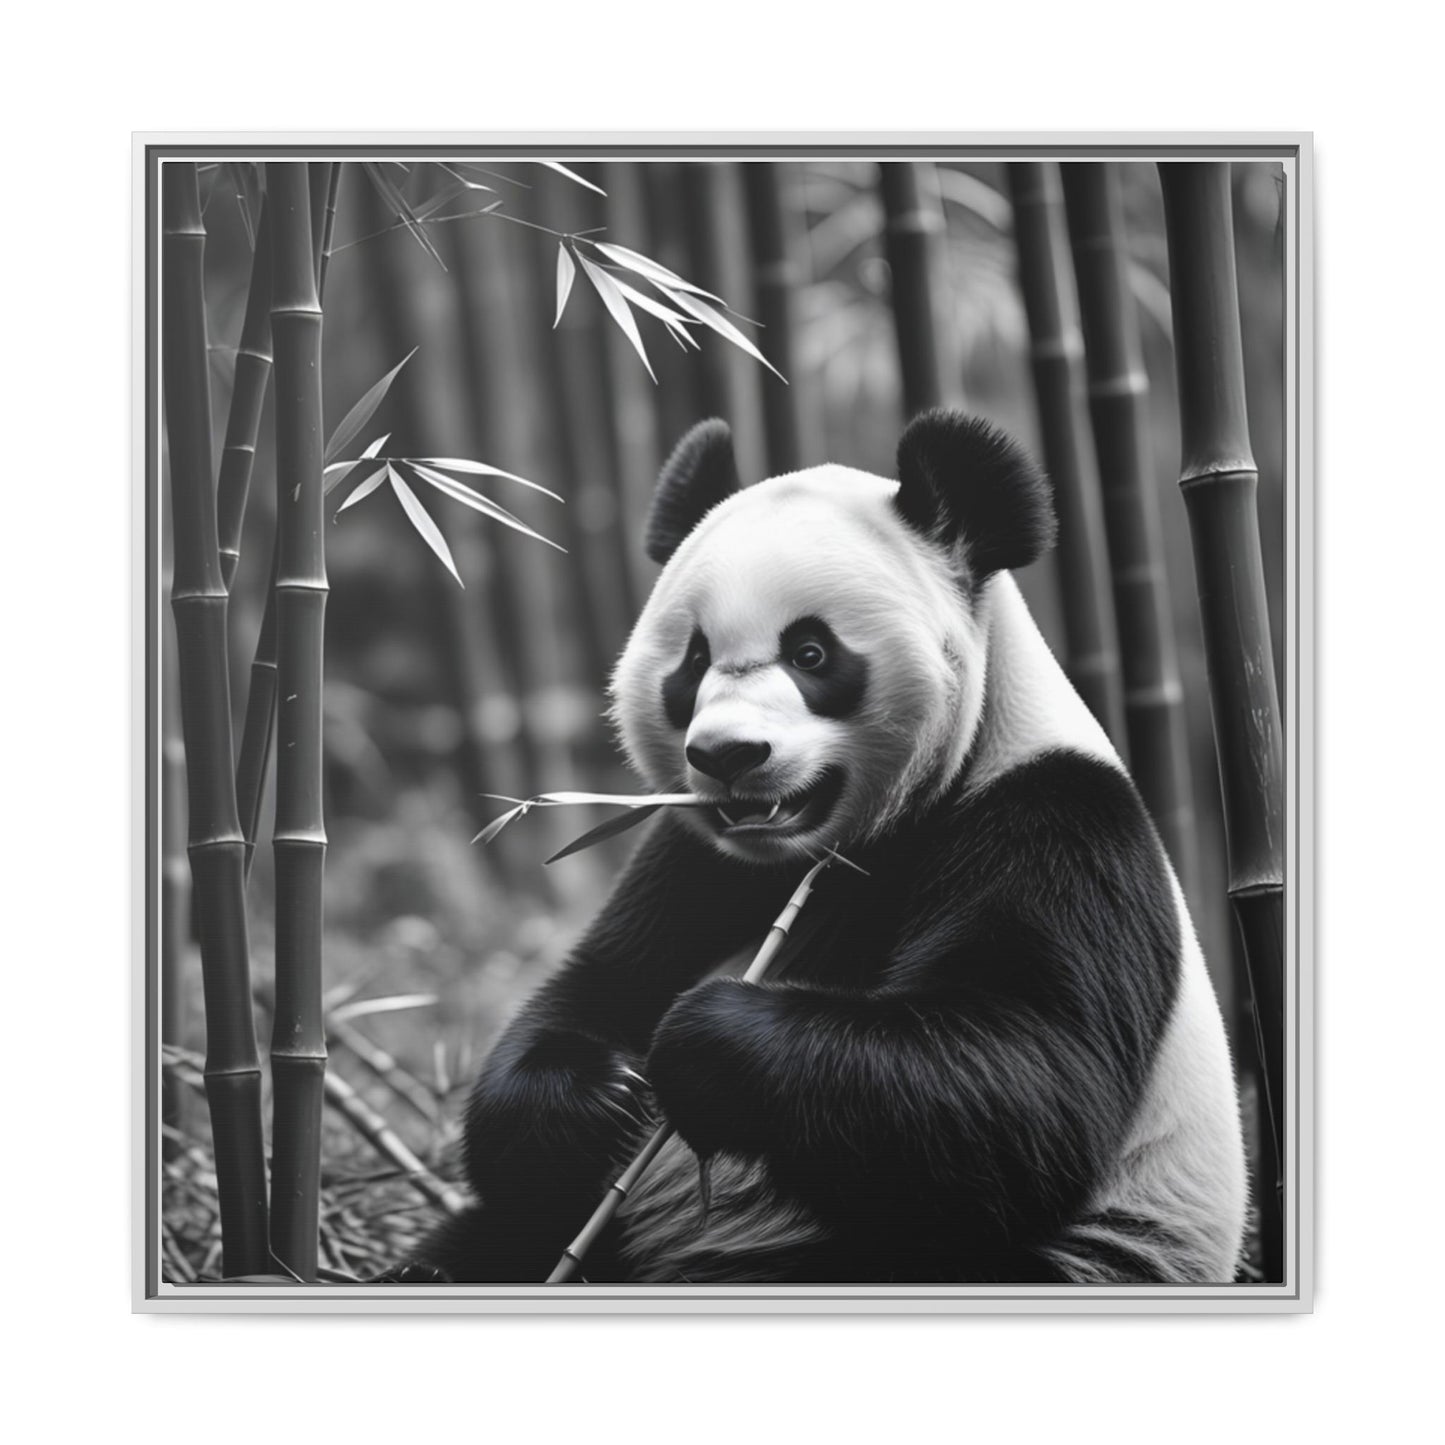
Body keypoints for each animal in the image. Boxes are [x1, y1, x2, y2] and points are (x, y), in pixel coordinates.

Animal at [397, 410, 1248, 1285]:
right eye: (694, 660)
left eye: (810, 653)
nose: (728, 755)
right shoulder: (695, 856)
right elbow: (592, 991)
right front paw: (601, 1096)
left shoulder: (1055, 821)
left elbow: (1024, 1079)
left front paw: (703, 1039)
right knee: (491, 1239)